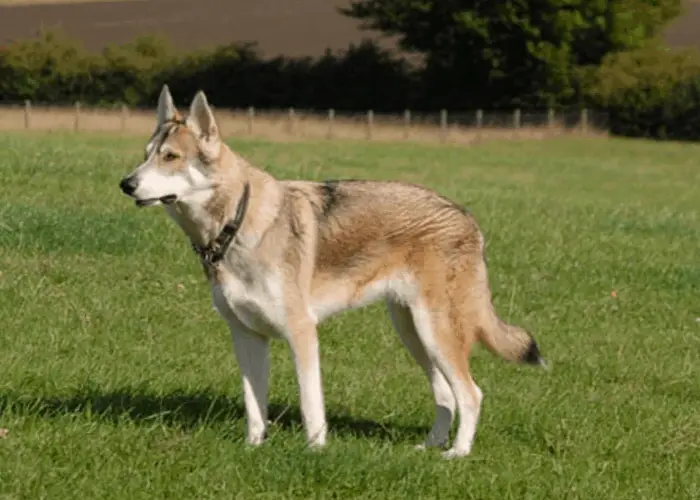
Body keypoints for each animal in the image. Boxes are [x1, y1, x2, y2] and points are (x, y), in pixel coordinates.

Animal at [119, 85, 548, 458]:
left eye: (171, 157)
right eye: (146, 155)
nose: (126, 184)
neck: (233, 227)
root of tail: (468, 219)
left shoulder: (302, 333)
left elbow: (311, 406)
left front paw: (315, 451)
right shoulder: (247, 337)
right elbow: (254, 407)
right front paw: (253, 449)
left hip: (435, 332)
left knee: (471, 394)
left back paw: (456, 454)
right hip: (413, 334)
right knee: (446, 395)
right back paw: (428, 447)